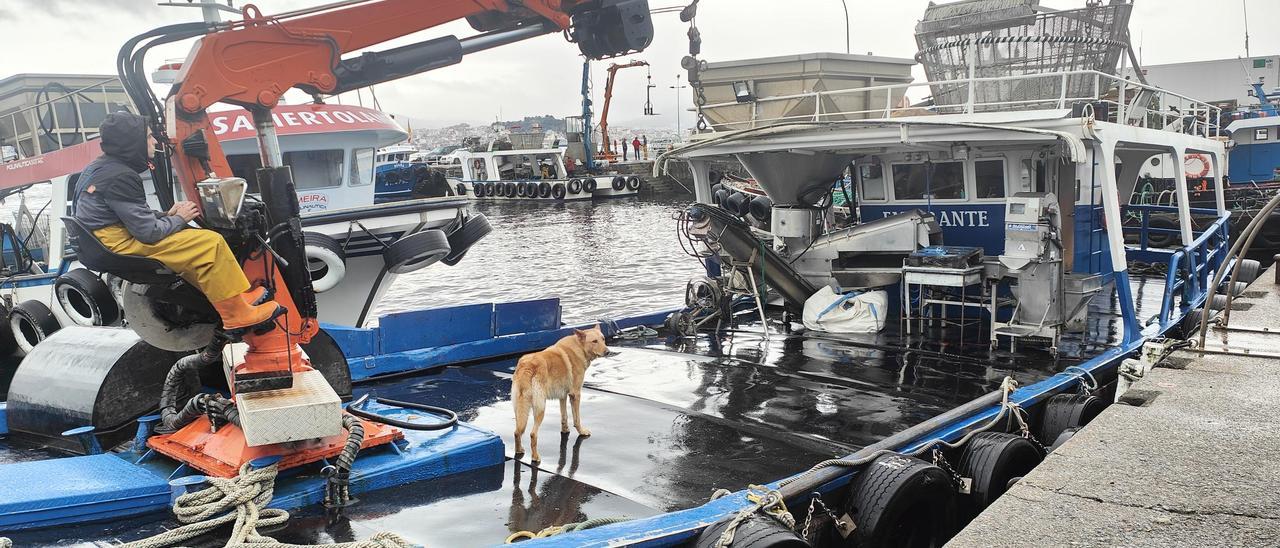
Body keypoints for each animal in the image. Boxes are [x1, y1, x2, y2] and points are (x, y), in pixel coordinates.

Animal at [509, 325, 609, 463]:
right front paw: (581, 431)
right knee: (533, 434)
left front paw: (565, 430)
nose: (608, 351)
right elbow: (577, 419)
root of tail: (527, 366)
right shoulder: (575, 394)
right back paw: (535, 457)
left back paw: (519, 450)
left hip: (520, 409)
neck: (579, 347)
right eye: (594, 341)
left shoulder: (563, 395)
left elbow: (564, 416)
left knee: (517, 432)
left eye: (603, 339)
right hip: (540, 408)